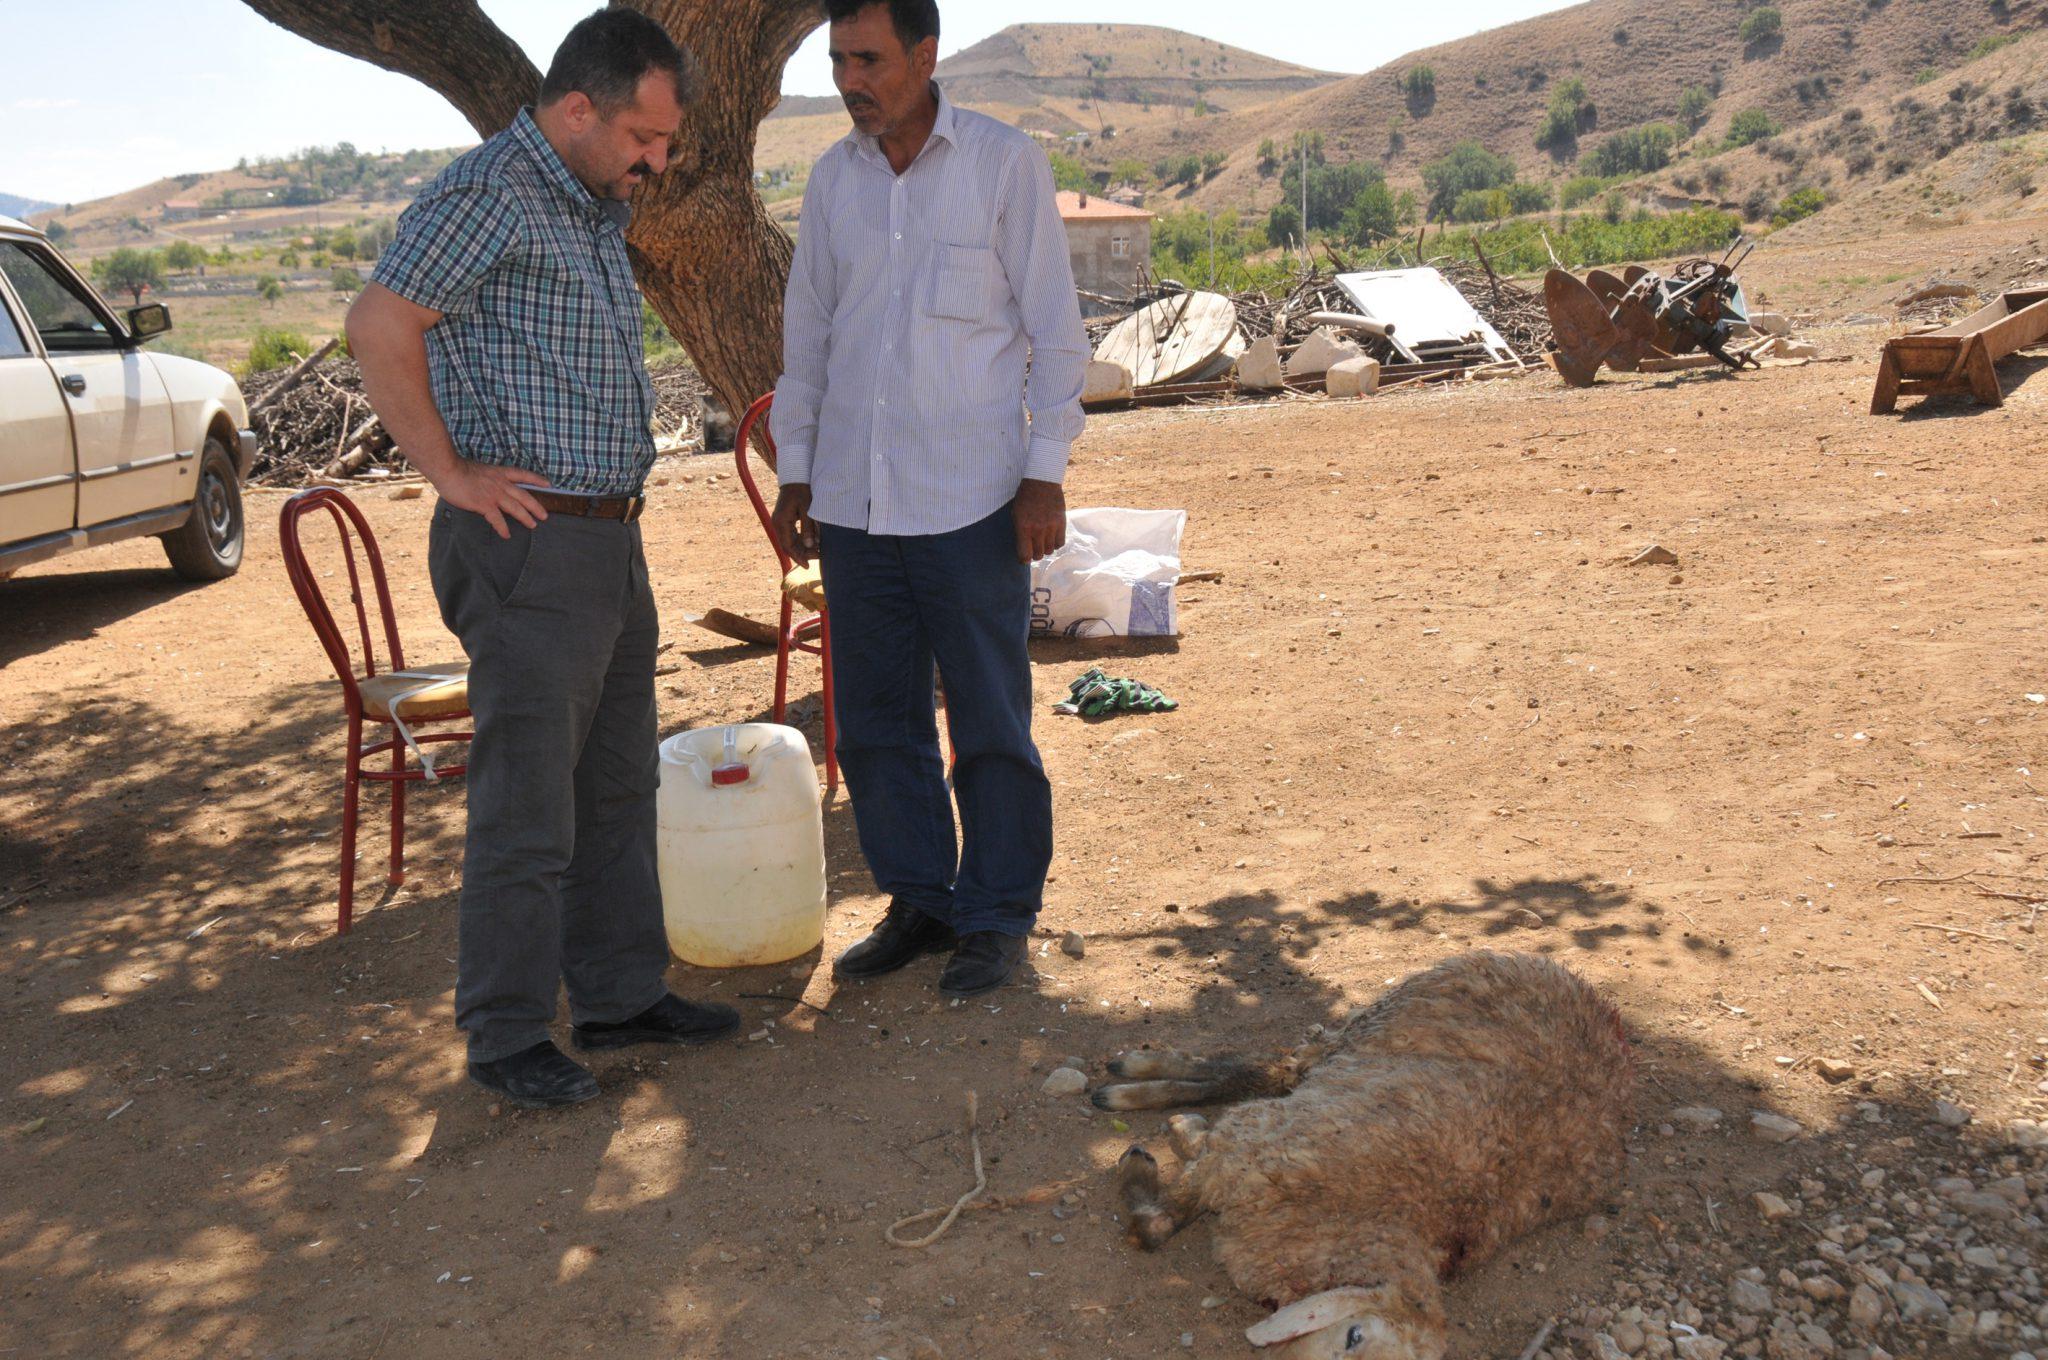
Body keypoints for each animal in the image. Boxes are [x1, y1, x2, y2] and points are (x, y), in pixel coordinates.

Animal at [1097, 950, 1638, 1351]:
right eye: (1353, 1335)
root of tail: (1598, 1003)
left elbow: (1156, 1223)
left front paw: (1175, 1141)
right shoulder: (1242, 1150)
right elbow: (1156, 1225)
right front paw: (1145, 1162)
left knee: (1272, 1074)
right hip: (1377, 1019)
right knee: (1271, 1067)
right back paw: (1133, 1079)